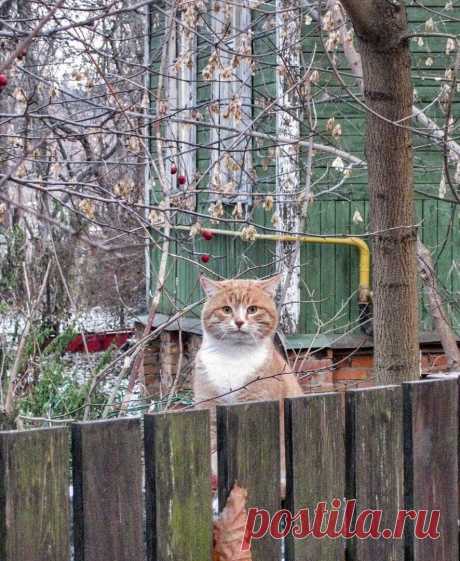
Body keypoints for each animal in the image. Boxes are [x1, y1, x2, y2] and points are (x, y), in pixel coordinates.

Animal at [192, 274, 304, 488]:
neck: (233, 355)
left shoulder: (254, 404)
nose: (239, 322)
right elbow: (213, 450)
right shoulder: (210, 406)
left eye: (252, 309)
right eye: (227, 309)